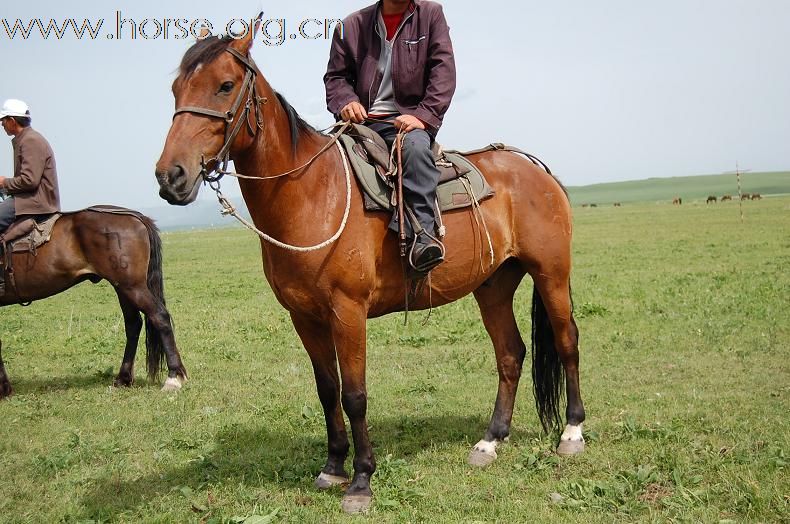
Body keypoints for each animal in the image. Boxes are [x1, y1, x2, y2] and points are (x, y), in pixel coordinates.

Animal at [0, 209, 188, 398]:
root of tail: (137, 217)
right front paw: (5, 388)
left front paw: (3, 388)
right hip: (122, 287)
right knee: (133, 324)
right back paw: (123, 378)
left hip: (132, 286)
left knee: (159, 316)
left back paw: (173, 378)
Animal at [155, 23, 588, 512]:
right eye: (176, 89)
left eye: (225, 86)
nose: (171, 176)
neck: (311, 193)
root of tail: (535, 168)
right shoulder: (305, 317)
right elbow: (327, 390)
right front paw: (333, 467)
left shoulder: (348, 312)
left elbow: (355, 395)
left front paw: (362, 480)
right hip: (494, 285)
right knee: (510, 353)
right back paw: (491, 440)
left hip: (551, 273)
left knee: (567, 341)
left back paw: (572, 432)